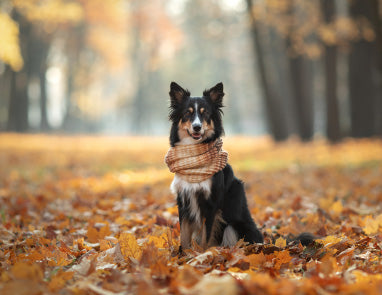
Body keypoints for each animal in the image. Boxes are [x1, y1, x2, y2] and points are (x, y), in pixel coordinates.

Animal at [166, 82, 264, 251]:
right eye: (187, 113)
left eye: (205, 113)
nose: (197, 127)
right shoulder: (183, 201)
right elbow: (184, 237)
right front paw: (183, 256)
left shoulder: (211, 204)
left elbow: (206, 236)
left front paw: (202, 255)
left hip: (235, 226)